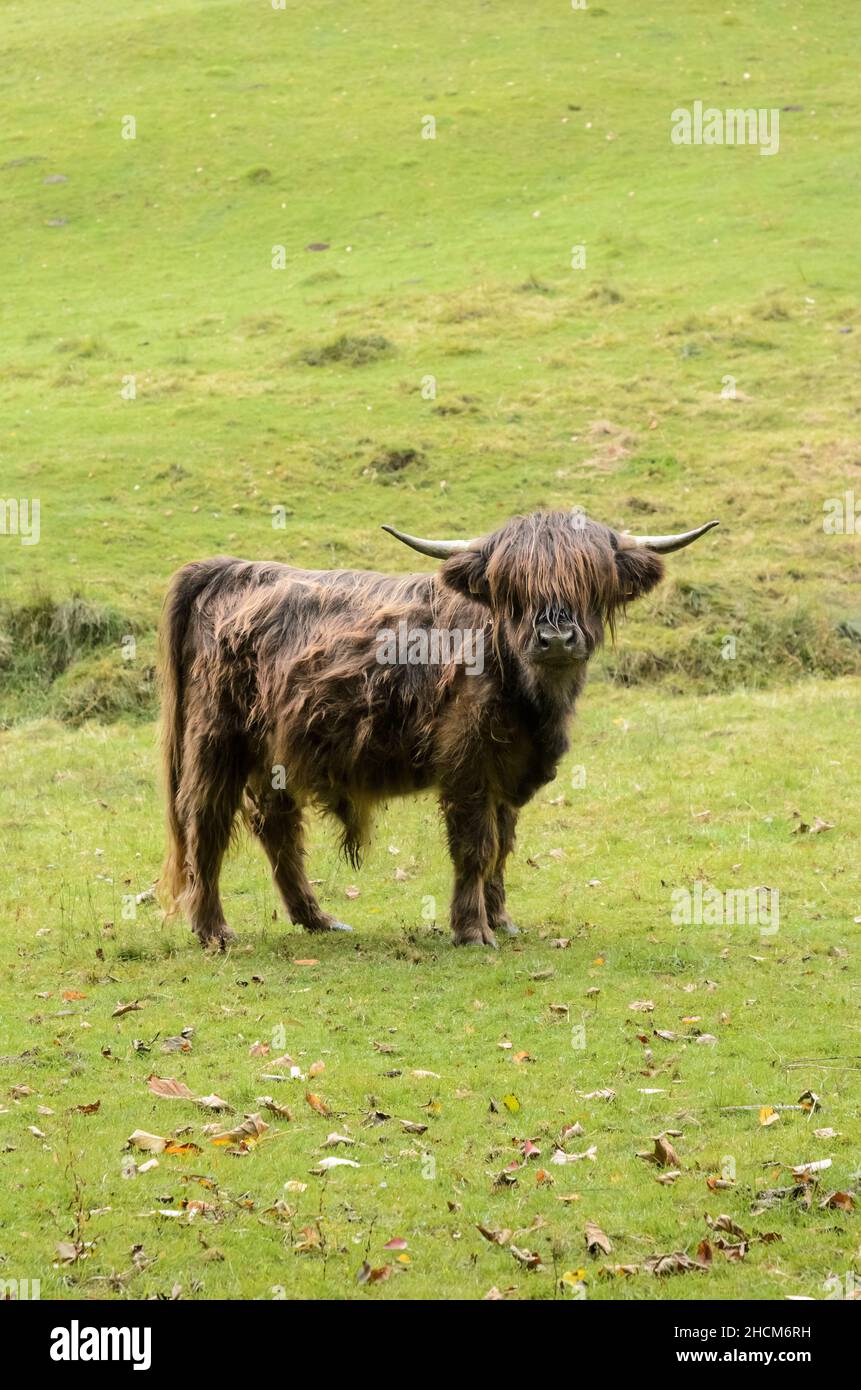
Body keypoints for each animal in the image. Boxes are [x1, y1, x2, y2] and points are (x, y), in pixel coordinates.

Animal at [158, 505, 717, 950]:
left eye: (589, 582)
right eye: (513, 588)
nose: (556, 638)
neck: (531, 699)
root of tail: (236, 569)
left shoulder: (508, 773)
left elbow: (502, 846)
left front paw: (502, 919)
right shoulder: (467, 764)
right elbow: (476, 846)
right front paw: (473, 931)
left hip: (272, 752)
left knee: (277, 827)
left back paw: (317, 919)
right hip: (217, 741)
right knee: (206, 823)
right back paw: (214, 930)